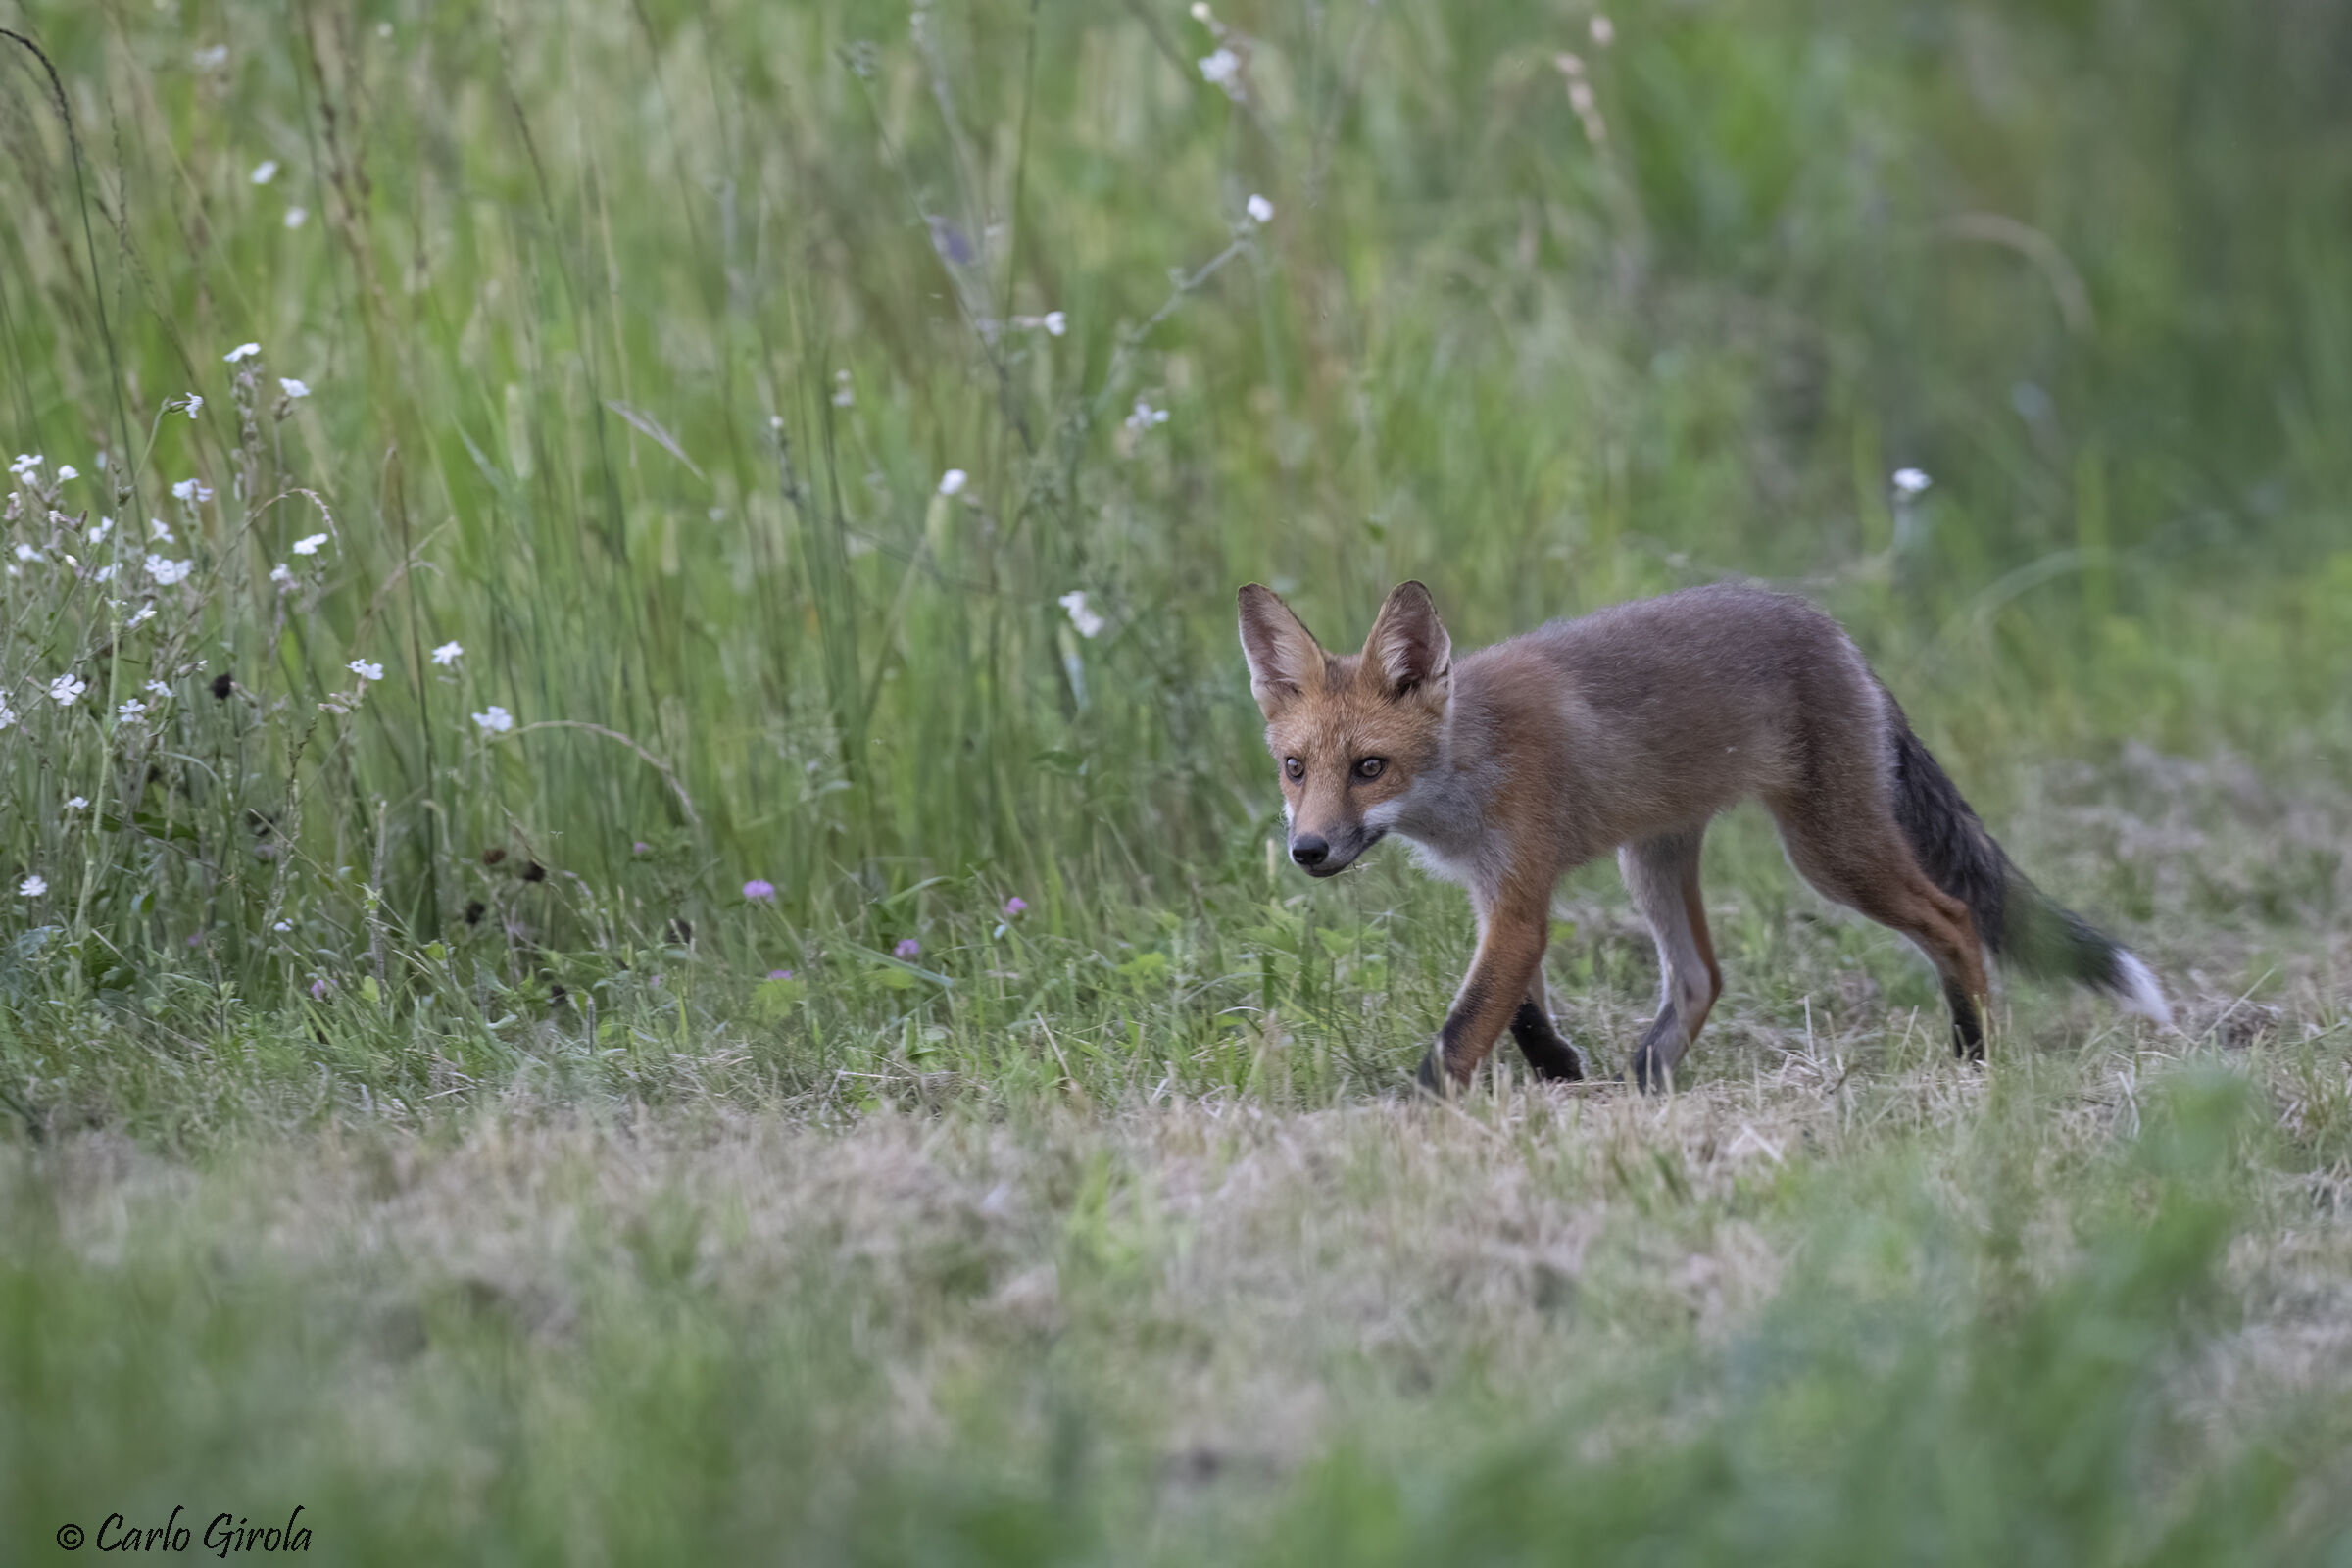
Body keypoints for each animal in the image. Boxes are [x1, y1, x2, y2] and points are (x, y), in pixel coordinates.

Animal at [1237, 579, 2172, 1093]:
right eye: (1294, 769)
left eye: (1369, 767)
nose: (1308, 851)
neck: (1467, 767)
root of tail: (1836, 635)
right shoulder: (1498, 893)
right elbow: (1520, 1012)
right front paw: (1561, 1072)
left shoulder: (1520, 896)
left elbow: (1462, 1031)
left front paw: (1413, 1116)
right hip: (1651, 858)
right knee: (1702, 977)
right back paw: (1646, 1079)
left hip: (1832, 854)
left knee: (1954, 916)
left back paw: (1977, 1055)